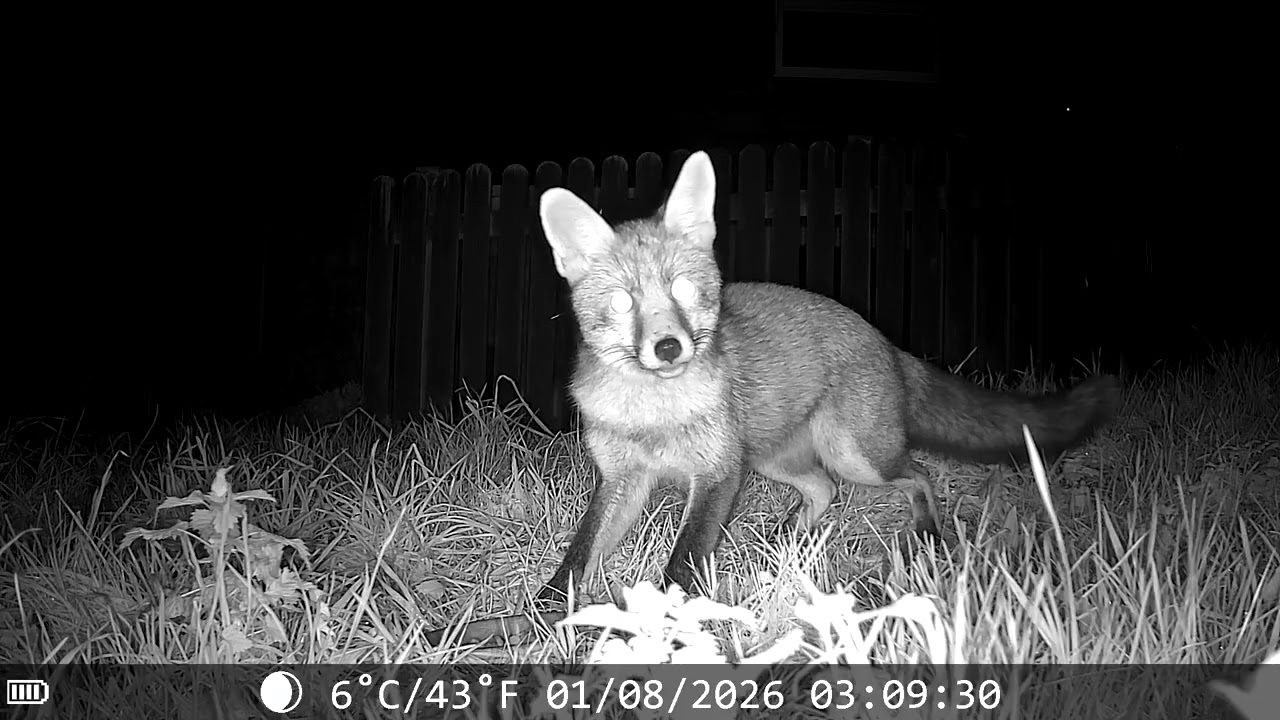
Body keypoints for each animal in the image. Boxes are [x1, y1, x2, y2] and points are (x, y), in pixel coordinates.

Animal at [536, 150, 1121, 602]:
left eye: (682, 288)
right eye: (622, 301)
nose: (667, 347)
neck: (654, 416)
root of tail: (884, 339)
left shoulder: (717, 475)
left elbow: (683, 561)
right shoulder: (623, 478)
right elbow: (578, 555)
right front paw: (543, 616)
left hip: (854, 457)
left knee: (917, 476)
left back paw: (926, 535)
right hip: (771, 460)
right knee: (824, 489)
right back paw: (788, 541)